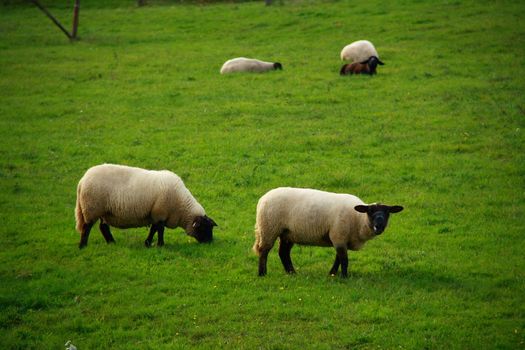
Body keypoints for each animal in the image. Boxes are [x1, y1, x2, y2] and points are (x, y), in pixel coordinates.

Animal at [73, 164, 215, 249]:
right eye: (203, 227)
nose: (210, 243)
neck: (181, 206)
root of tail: (82, 180)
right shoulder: (160, 213)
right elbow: (159, 230)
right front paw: (160, 245)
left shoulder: (156, 214)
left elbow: (154, 229)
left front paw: (148, 243)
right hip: (91, 208)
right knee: (87, 227)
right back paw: (83, 245)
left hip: (104, 211)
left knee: (103, 227)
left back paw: (111, 242)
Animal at [252, 187, 404, 278]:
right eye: (370, 211)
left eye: (387, 212)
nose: (379, 226)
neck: (358, 219)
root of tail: (263, 198)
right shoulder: (339, 235)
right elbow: (344, 259)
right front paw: (344, 276)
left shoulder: (341, 238)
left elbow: (338, 258)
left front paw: (333, 274)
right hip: (268, 228)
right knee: (264, 250)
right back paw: (262, 273)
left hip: (288, 233)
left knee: (283, 252)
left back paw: (292, 272)